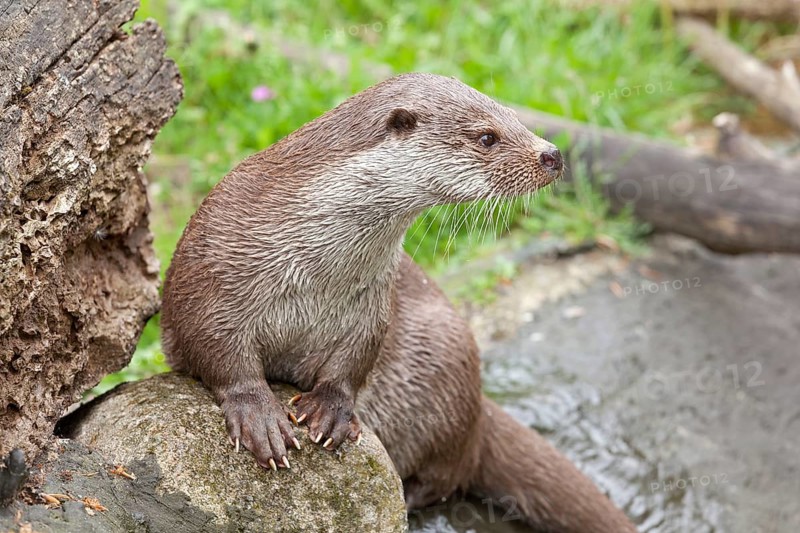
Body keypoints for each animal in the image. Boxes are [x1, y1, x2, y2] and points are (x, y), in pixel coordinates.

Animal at [161, 73, 635, 532]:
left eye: (519, 119)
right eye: (488, 136)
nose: (552, 154)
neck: (313, 276)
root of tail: (479, 408)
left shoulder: (371, 306)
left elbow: (355, 360)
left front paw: (332, 409)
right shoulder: (212, 275)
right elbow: (219, 351)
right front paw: (259, 416)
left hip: (445, 362)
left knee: (447, 475)